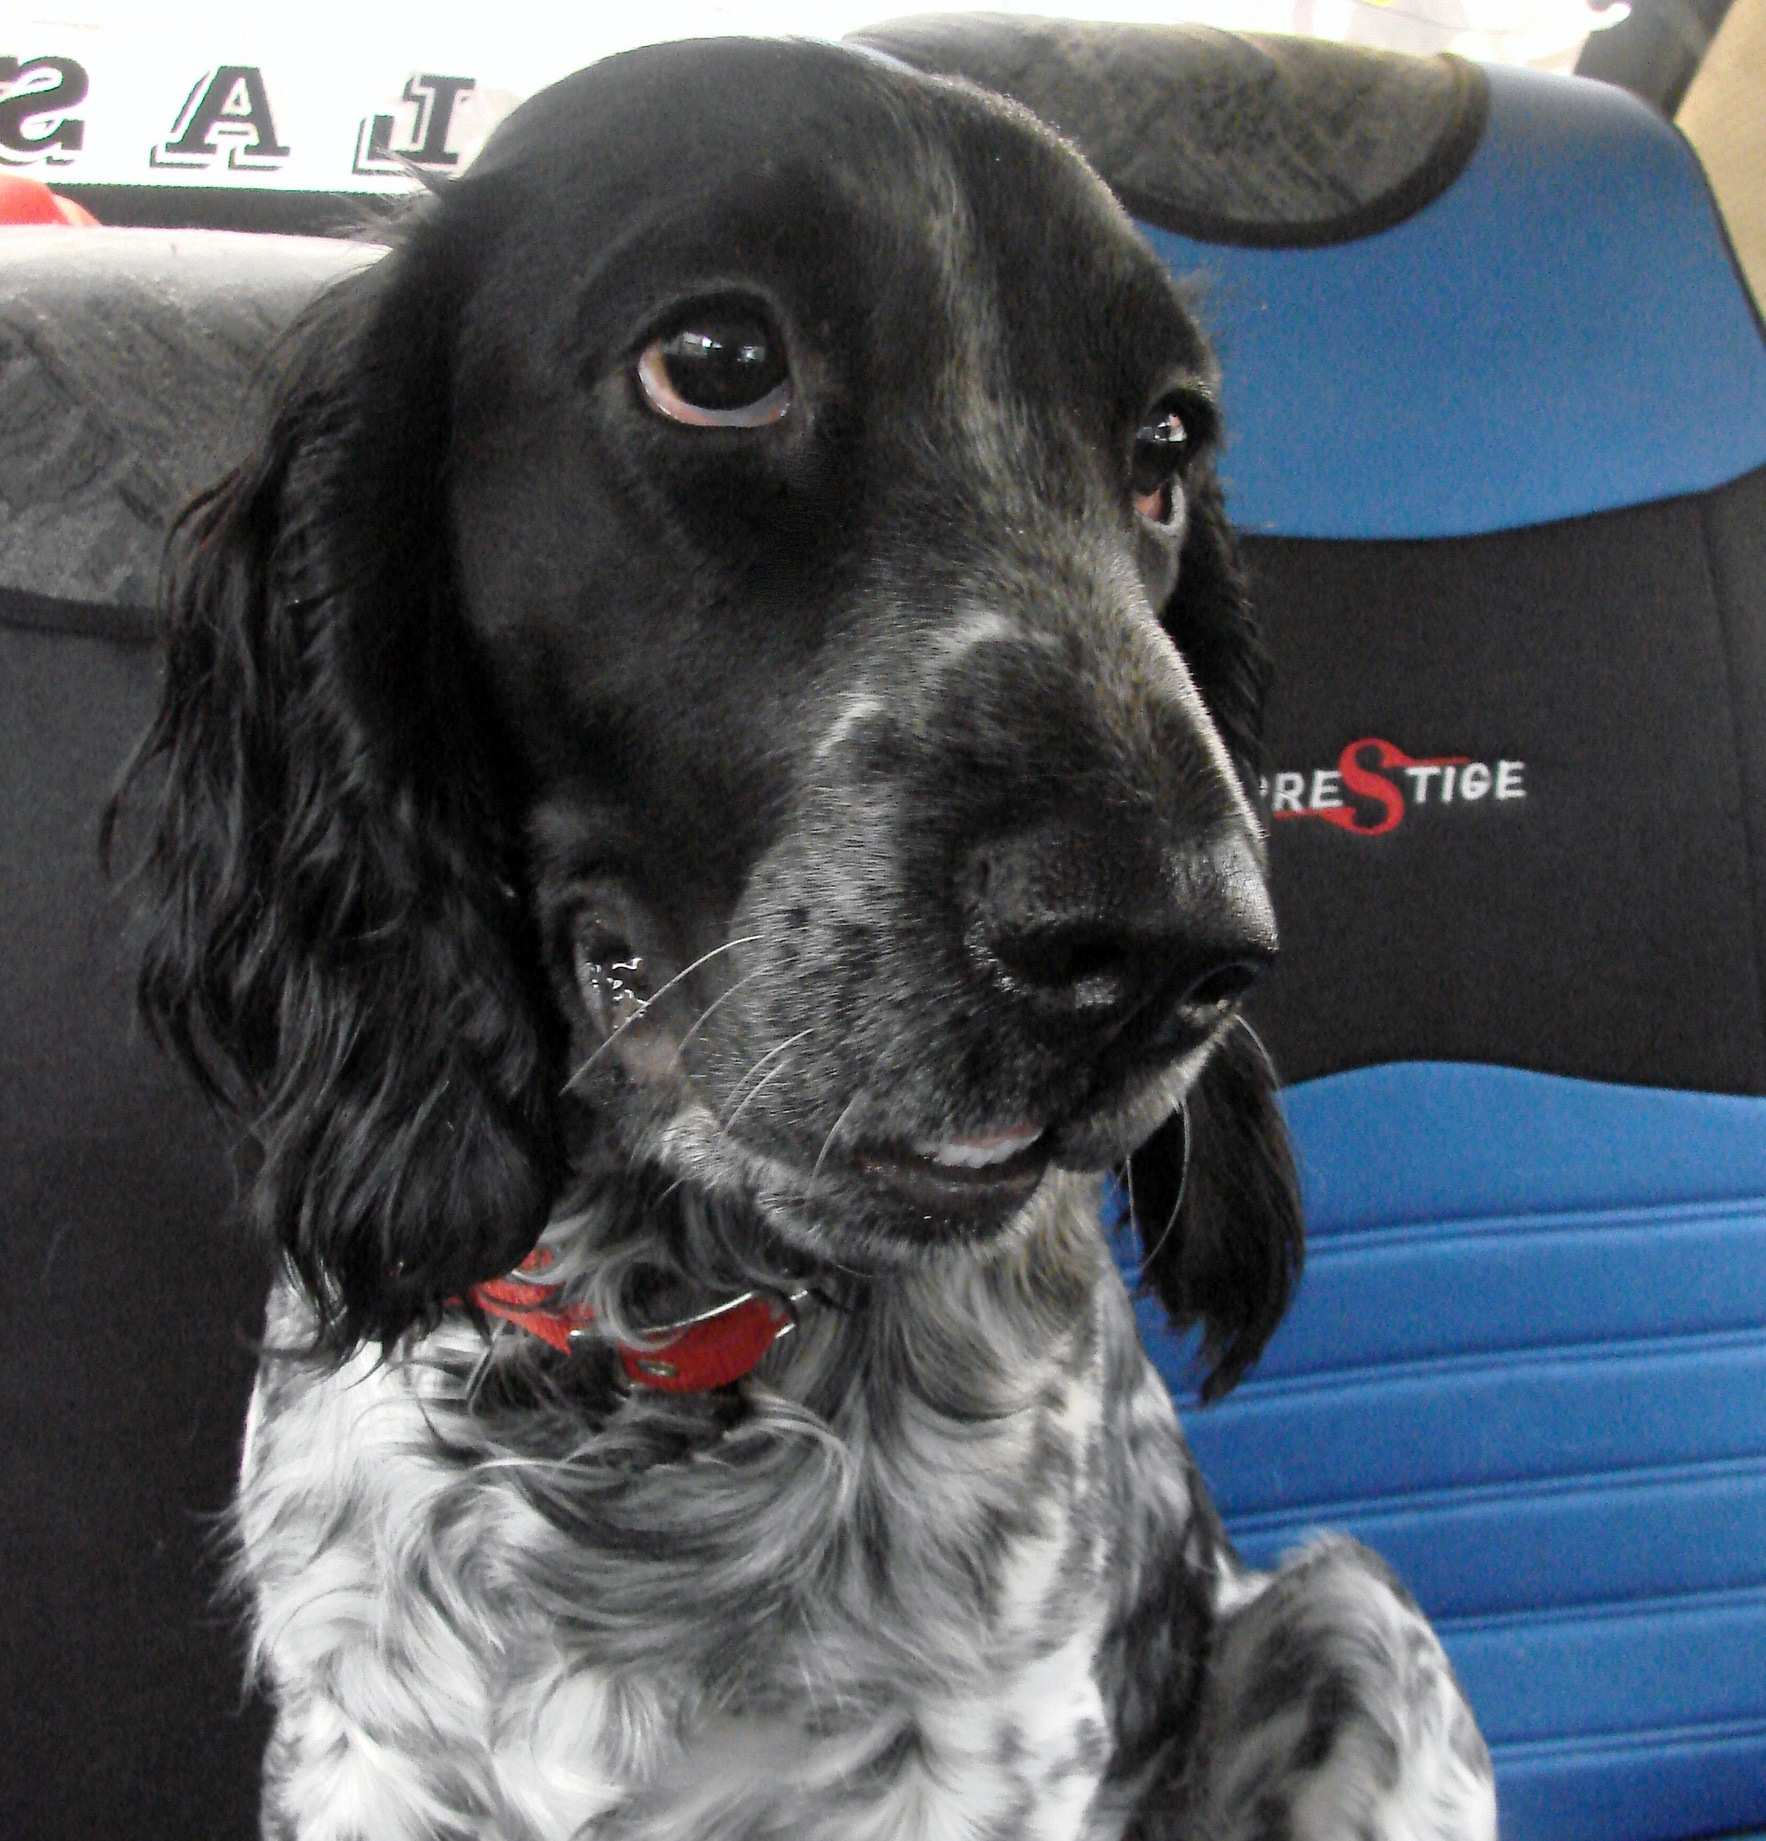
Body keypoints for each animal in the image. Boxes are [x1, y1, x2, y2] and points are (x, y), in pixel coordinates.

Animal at [112, 36, 1496, 1841]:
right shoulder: (357, 1756)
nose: (1173, 950)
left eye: (1162, 448)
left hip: (1348, 1614)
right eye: (716, 362)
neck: (650, 1362)